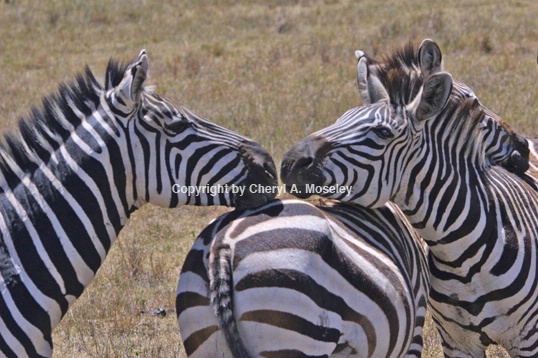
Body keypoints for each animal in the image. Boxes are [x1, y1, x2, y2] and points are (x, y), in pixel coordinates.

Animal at [282, 41, 538, 356]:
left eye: (381, 131)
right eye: (340, 119)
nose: (289, 163)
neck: (463, 257)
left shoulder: (529, 339)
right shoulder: (457, 341)